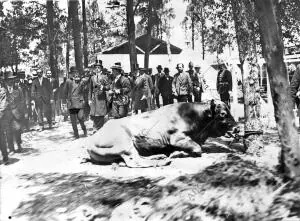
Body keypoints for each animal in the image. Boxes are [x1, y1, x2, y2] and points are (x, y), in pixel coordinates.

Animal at [84, 100, 237, 167]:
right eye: (223, 114)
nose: (236, 126)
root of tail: (91, 139)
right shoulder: (177, 138)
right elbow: (197, 148)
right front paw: (177, 153)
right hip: (125, 143)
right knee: (135, 161)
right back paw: (163, 160)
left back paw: (159, 156)